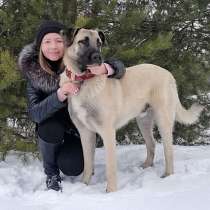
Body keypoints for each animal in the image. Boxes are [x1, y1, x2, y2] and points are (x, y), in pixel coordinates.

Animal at [59, 27, 203, 192]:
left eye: (99, 43)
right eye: (83, 41)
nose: (98, 57)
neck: (82, 81)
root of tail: (168, 74)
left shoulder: (108, 132)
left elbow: (110, 167)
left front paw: (111, 191)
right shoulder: (85, 133)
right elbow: (88, 164)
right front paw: (84, 185)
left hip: (163, 120)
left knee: (168, 151)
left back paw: (167, 175)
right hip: (143, 121)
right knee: (152, 144)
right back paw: (146, 166)